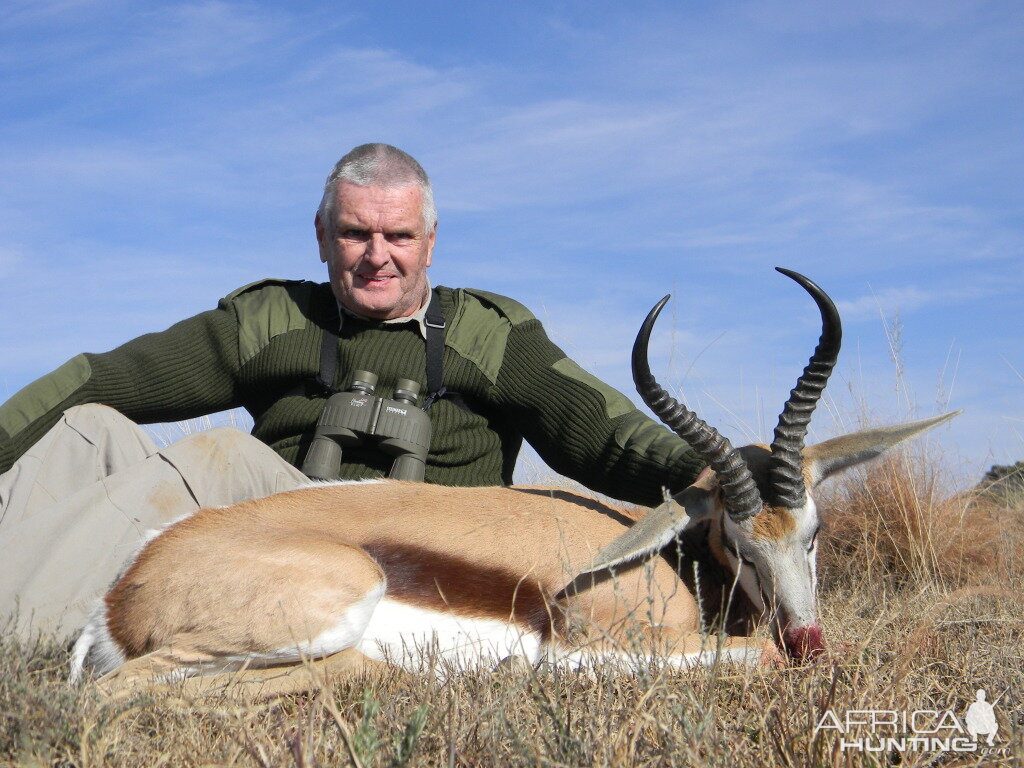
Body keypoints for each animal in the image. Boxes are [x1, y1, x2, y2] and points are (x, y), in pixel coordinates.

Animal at [70, 268, 950, 696]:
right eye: (738, 541)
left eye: (815, 534)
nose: (809, 641)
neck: (667, 560)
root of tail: (124, 589)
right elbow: (734, 657)